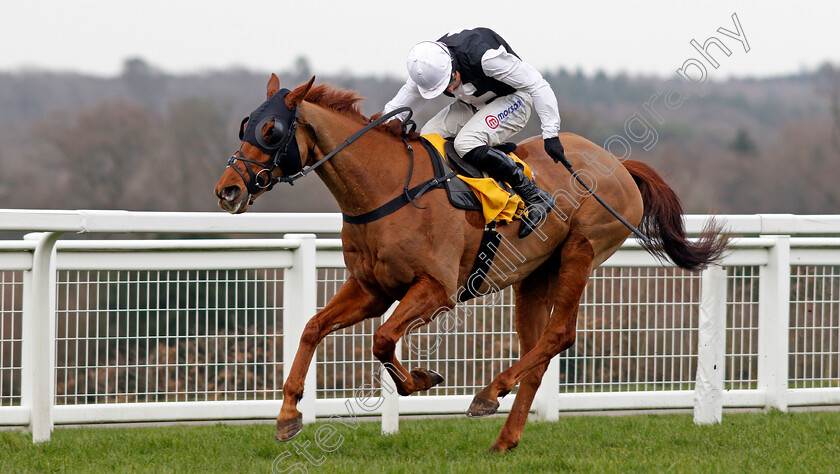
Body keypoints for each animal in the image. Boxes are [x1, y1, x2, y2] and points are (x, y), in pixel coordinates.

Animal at [213, 74, 724, 452]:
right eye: (244, 125)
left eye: (272, 131)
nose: (228, 190)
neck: (384, 188)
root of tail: (620, 167)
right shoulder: (372, 288)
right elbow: (312, 328)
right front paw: (288, 415)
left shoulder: (435, 289)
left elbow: (382, 340)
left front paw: (421, 380)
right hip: (534, 276)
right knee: (537, 354)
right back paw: (504, 438)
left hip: (581, 251)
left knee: (559, 335)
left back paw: (488, 393)